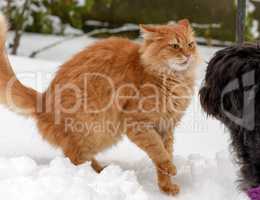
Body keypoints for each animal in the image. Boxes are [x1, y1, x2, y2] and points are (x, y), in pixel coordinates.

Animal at [0, 14, 199, 197]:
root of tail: (43, 101)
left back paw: (99, 171)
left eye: (190, 44)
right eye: (175, 46)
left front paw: (166, 186)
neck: (172, 80)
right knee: (74, 158)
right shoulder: (138, 123)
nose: (189, 55)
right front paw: (170, 168)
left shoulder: (167, 126)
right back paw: (90, 177)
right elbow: (158, 150)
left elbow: (165, 153)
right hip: (96, 129)